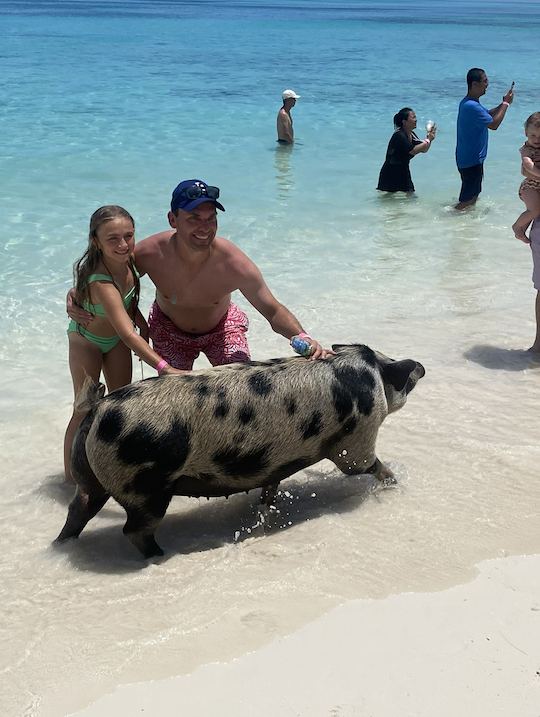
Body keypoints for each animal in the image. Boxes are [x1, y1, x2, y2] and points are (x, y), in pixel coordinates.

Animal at [56, 344, 426, 556]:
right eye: (402, 376)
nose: (419, 366)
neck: (371, 376)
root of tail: (98, 408)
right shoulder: (356, 438)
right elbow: (364, 465)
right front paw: (395, 482)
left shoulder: (274, 461)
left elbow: (271, 487)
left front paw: (266, 509)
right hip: (145, 484)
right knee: (133, 530)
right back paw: (162, 555)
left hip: (92, 476)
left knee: (79, 508)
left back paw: (61, 544)